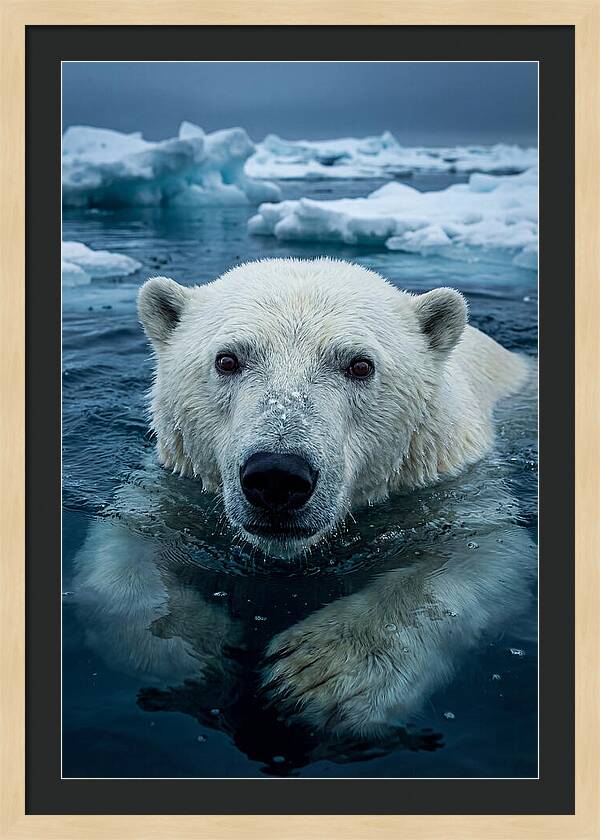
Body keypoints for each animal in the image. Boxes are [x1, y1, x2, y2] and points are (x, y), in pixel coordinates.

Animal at [68, 258, 534, 763]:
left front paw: (317, 675)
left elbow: (482, 554)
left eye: (360, 364)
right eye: (227, 359)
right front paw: (188, 649)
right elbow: (126, 546)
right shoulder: (177, 486)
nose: (277, 476)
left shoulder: (451, 486)